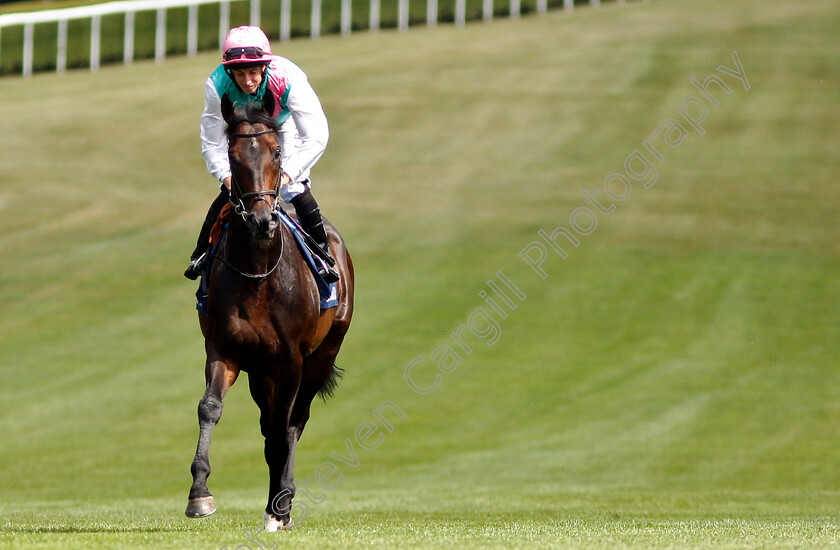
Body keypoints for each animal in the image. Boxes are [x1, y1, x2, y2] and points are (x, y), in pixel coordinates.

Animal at [185, 92, 352, 532]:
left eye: (277, 151)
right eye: (232, 152)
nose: (262, 220)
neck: (259, 274)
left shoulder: (291, 360)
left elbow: (284, 427)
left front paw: (279, 507)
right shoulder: (224, 349)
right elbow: (210, 407)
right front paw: (200, 494)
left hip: (323, 353)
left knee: (293, 422)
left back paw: (283, 502)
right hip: (260, 372)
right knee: (268, 424)